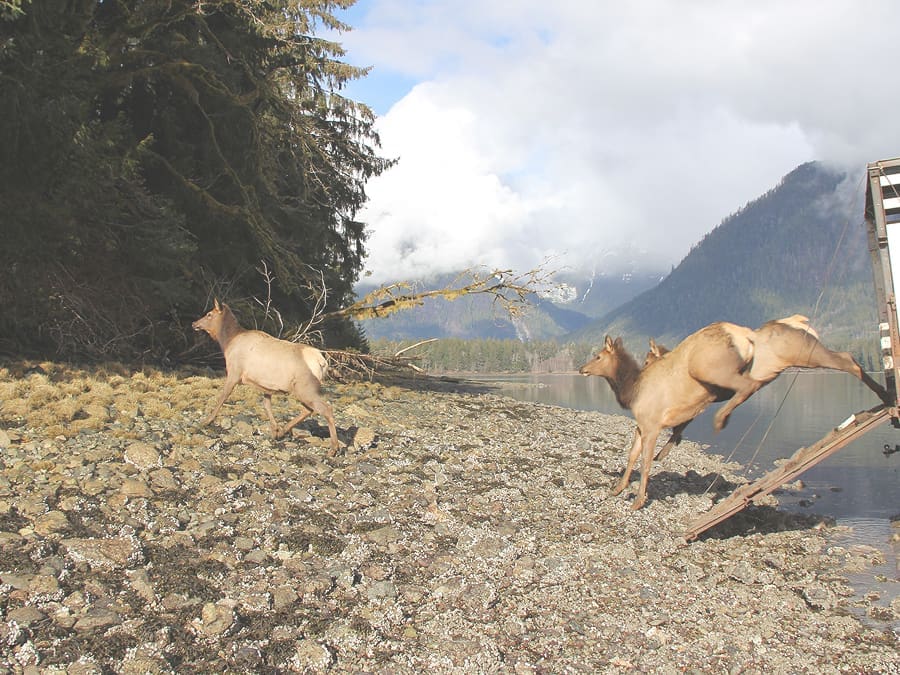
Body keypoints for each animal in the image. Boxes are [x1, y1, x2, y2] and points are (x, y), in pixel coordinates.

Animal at [192, 299, 340, 455]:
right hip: (302, 390)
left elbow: (222, 397)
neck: (227, 342)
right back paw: (283, 431)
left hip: (305, 388)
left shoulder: (234, 372)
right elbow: (266, 405)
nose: (194, 323)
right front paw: (274, 430)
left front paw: (206, 421)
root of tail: (322, 362)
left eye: (209, 314)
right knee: (309, 409)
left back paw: (333, 448)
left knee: (326, 409)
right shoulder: (266, 386)